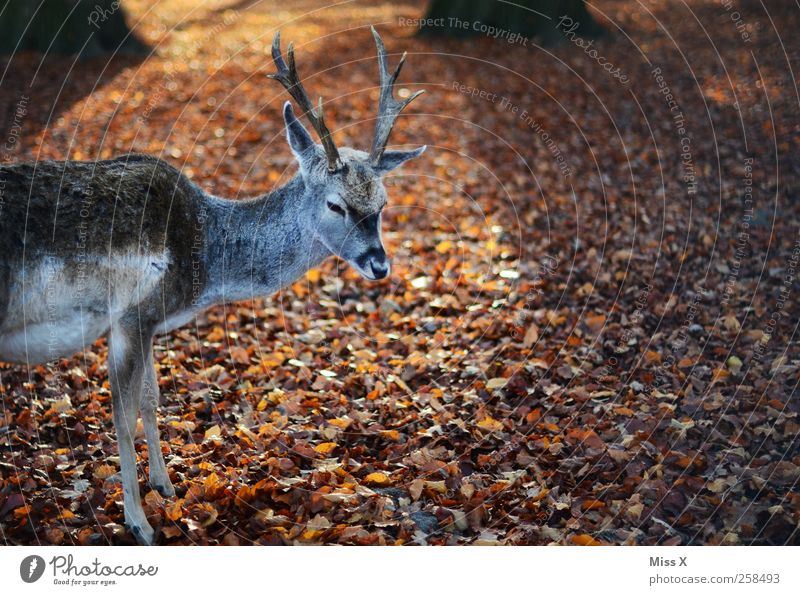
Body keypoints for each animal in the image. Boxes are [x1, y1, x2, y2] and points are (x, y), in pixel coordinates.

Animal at [0, 28, 424, 544]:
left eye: (383, 202)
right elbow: (122, 414)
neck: (202, 257)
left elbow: (150, 399)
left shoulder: (148, 324)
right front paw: (140, 523)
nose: (379, 265)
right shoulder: (131, 315)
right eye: (335, 204)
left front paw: (164, 487)